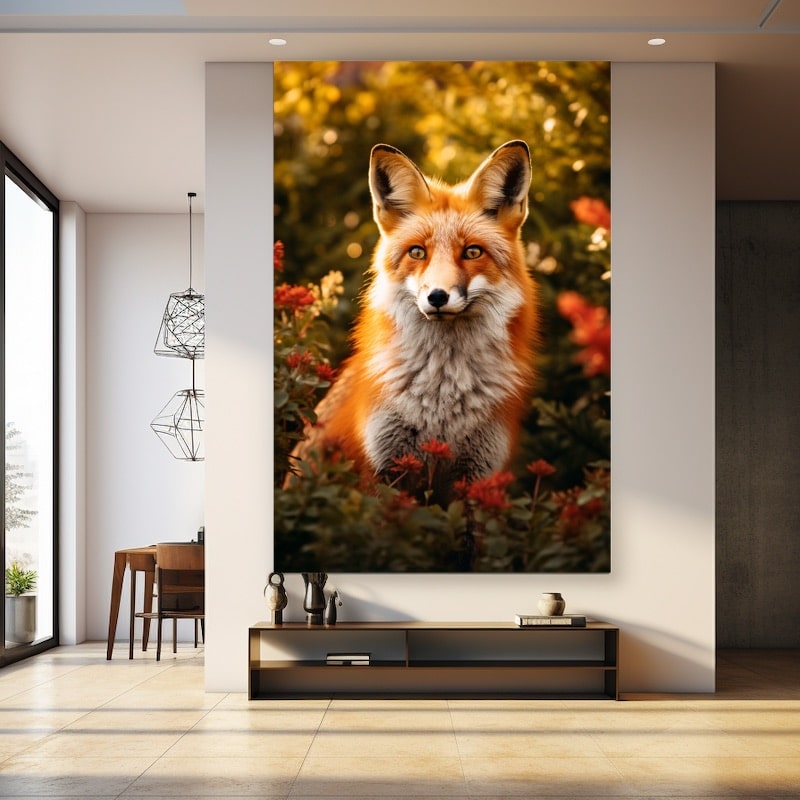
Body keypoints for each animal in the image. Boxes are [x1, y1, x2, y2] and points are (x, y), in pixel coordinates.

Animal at [293, 140, 539, 504]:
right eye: (417, 253)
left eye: (472, 252)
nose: (437, 296)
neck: (443, 393)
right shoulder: (383, 465)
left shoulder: (479, 475)